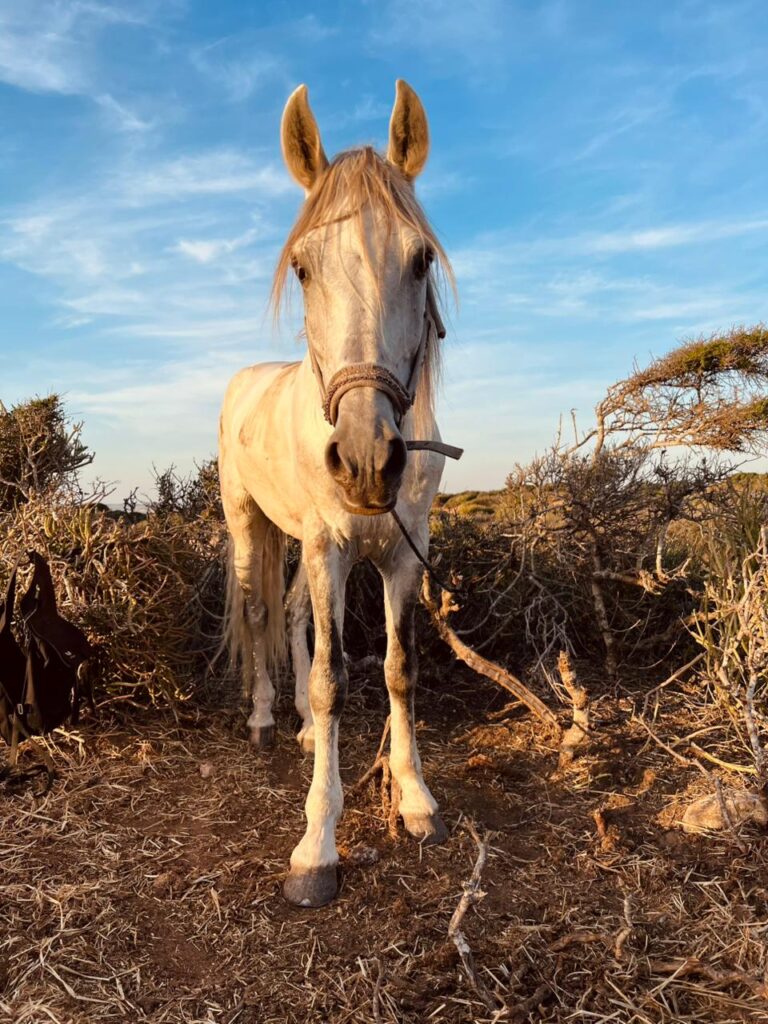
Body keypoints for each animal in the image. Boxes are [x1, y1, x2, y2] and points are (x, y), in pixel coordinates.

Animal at [219, 80, 457, 907]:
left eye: (420, 258)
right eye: (301, 268)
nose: (363, 460)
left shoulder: (401, 557)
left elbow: (396, 668)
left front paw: (415, 800)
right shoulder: (331, 550)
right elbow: (329, 680)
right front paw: (317, 845)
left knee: (290, 614)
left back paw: (289, 722)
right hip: (248, 526)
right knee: (261, 610)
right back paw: (264, 716)